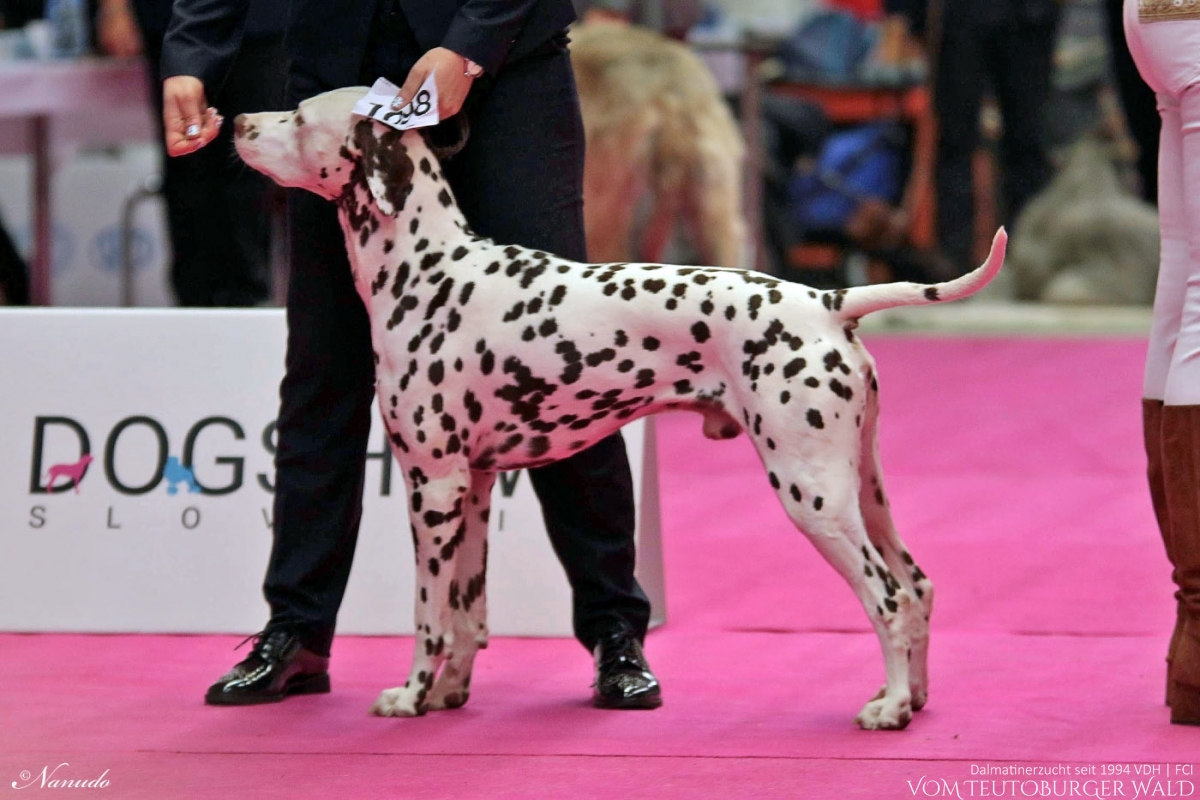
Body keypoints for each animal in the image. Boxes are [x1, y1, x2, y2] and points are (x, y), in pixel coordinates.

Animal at [231, 89, 1003, 734]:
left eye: (298, 116)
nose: (236, 121)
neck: (433, 271)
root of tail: (826, 300)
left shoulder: (434, 487)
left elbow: (430, 617)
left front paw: (412, 696)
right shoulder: (473, 487)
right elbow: (469, 612)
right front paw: (450, 694)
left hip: (813, 496)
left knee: (888, 598)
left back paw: (890, 708)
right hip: (862, 489)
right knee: (918, 586)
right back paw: (915, 697)